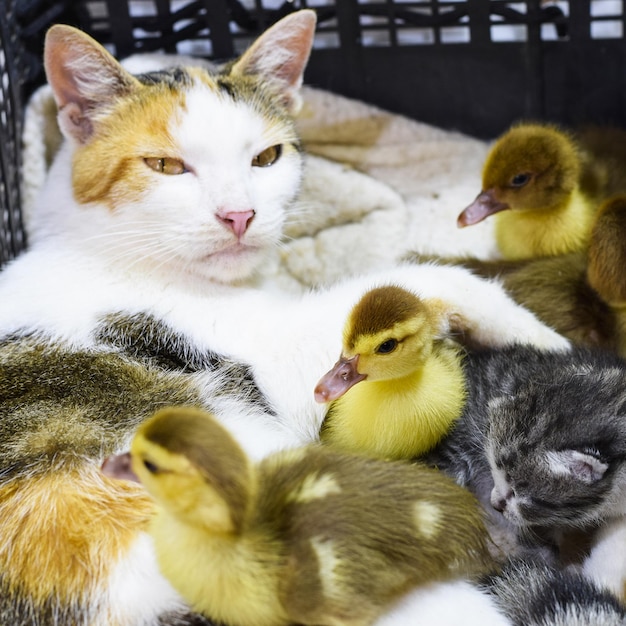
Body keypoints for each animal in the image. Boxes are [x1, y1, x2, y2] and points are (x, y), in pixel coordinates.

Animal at [0, 8, 572, 624]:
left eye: (266, 158)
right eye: (166, 165)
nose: (239, 215)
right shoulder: (283, 358)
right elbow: (407, 282)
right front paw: (540, 336)